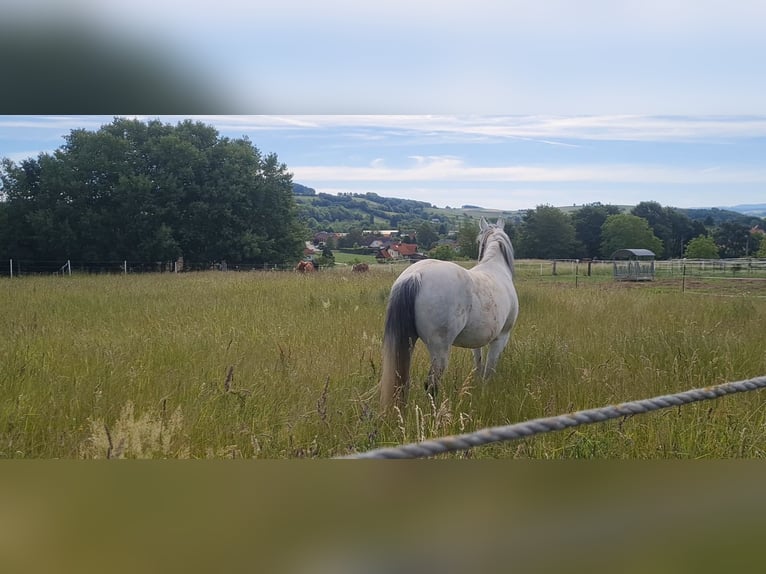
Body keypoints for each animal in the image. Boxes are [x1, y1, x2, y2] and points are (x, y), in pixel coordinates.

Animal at [379, 217, 519, 410]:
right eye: (479, 241)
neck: (495, 268)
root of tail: (416, 275)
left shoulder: (477, 341)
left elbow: (478, 364)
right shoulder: (501, 337)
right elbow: (489, 369)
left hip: (407, 342)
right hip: (440, 349)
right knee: (431, 384)